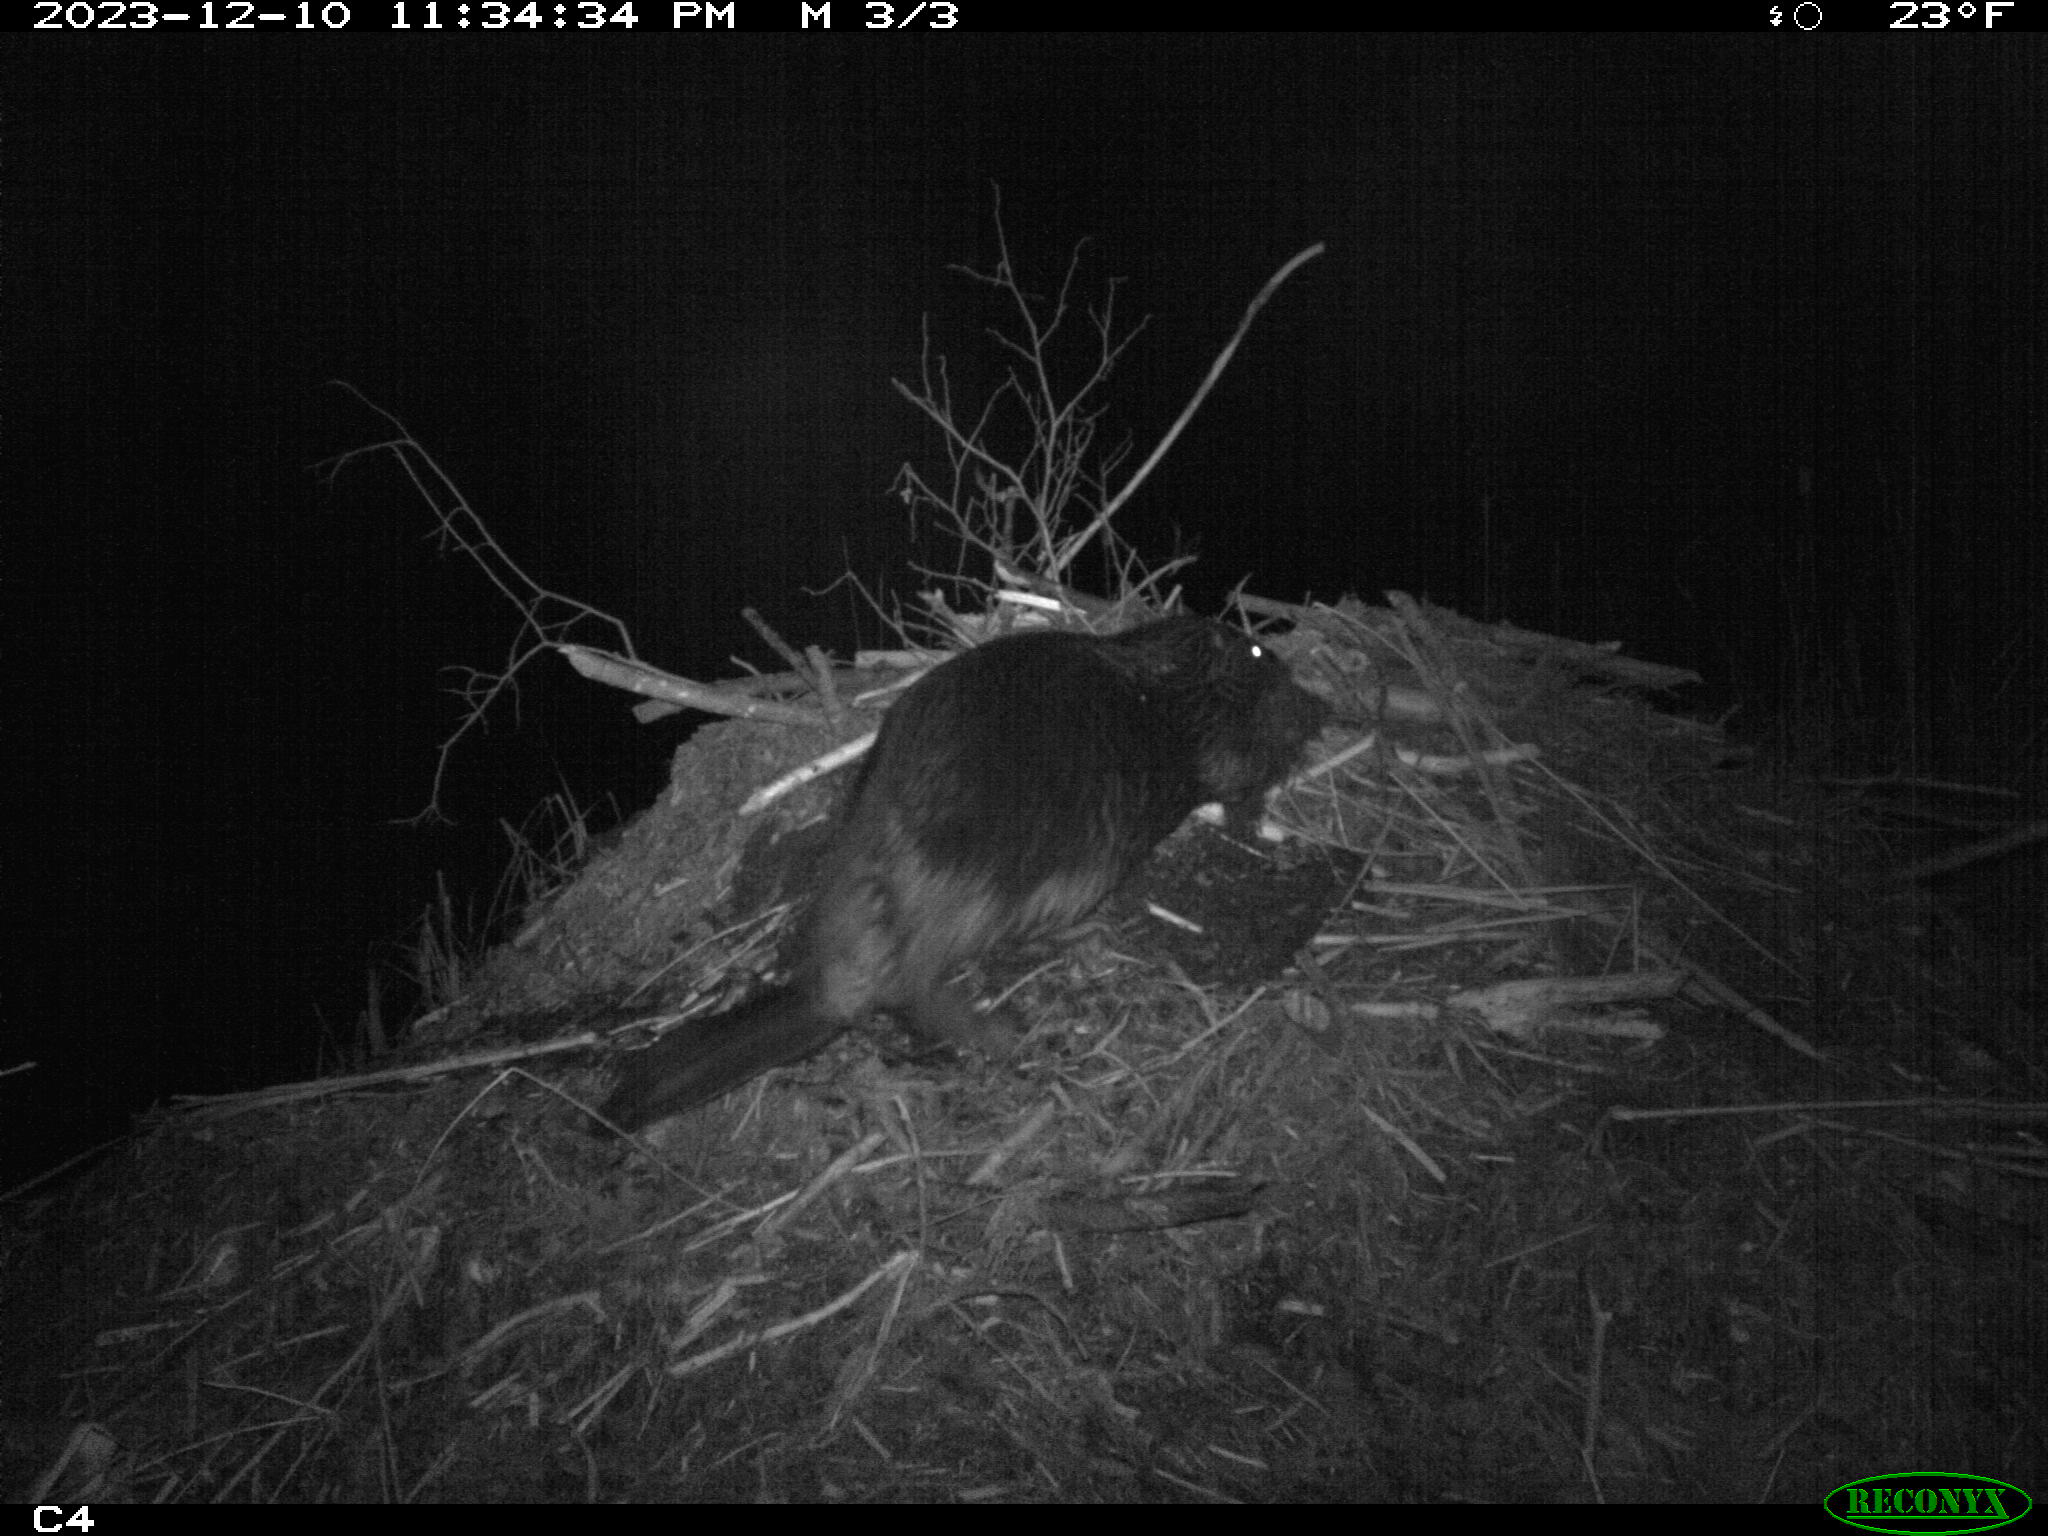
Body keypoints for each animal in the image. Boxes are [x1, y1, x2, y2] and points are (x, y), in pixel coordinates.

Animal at [598, 614, 1327, 1130]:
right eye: (1259, 656)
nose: (1315, 704)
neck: (1164, 685)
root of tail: (833, 993)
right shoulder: (1213, 741)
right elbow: (1237, 774)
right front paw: (1260, 801)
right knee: (928, 989)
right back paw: (1014, 1024)